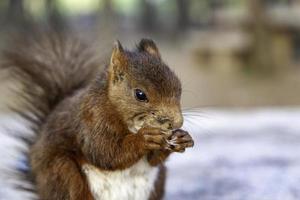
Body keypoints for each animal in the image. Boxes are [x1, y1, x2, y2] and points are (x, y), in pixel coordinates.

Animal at [1, 30, 195, 200]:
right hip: (63, 174)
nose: (177, 122)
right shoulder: (91, 118)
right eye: (140, 94)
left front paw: (182, 137)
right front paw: (144, 138)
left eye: (179, 88)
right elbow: (104, 152)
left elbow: (153, 161)